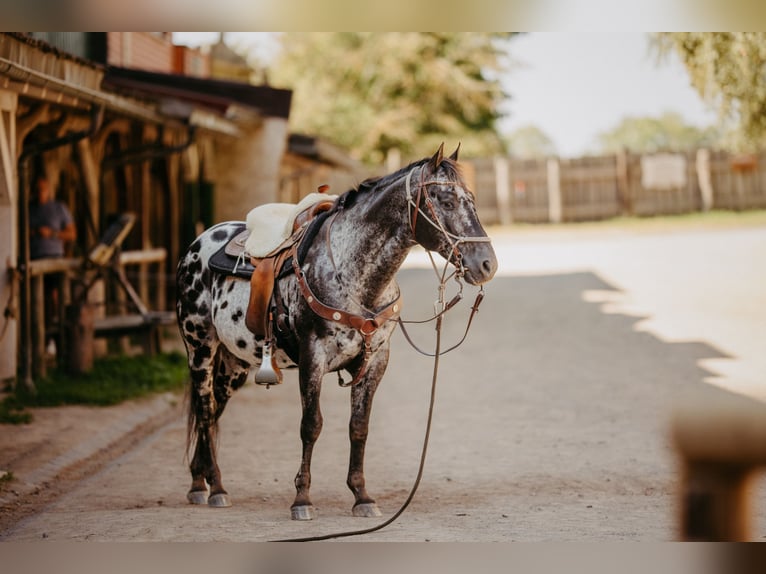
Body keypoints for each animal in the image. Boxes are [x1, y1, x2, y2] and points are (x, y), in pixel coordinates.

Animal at [176, 144, 498, 520]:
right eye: (446, 201)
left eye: (471, 200)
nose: (487, 264)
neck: (352, 273)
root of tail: (198, 243)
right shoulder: (312, 358)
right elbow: (311, 425)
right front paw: (302, 499)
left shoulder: (375, 362)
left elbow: (359, 427)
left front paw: (362, 496)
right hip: (200, 347)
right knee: (205, 408)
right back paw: (214, 488)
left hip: (234, 364)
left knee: (212, 412)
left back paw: (200, 482)